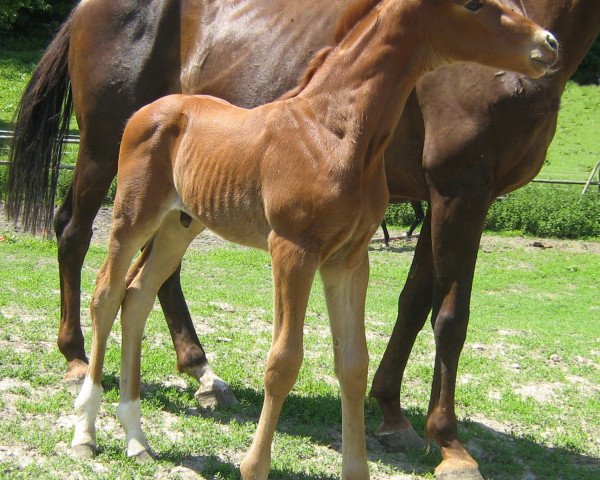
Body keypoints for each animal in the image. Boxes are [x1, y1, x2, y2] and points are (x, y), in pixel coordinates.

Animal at [71, 1, 556, 478]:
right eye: (473, 4)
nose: (548, 43)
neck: (335, 132)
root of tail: (148, 110)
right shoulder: (292, 250)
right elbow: (283, 361)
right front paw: (254, 466)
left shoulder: (349, 259)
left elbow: (353, 364)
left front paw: (356, 467)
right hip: (133, 216)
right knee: (106, 293)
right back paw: (86, 433)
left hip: (179, 225)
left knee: (137, 296)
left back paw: (137, 439)